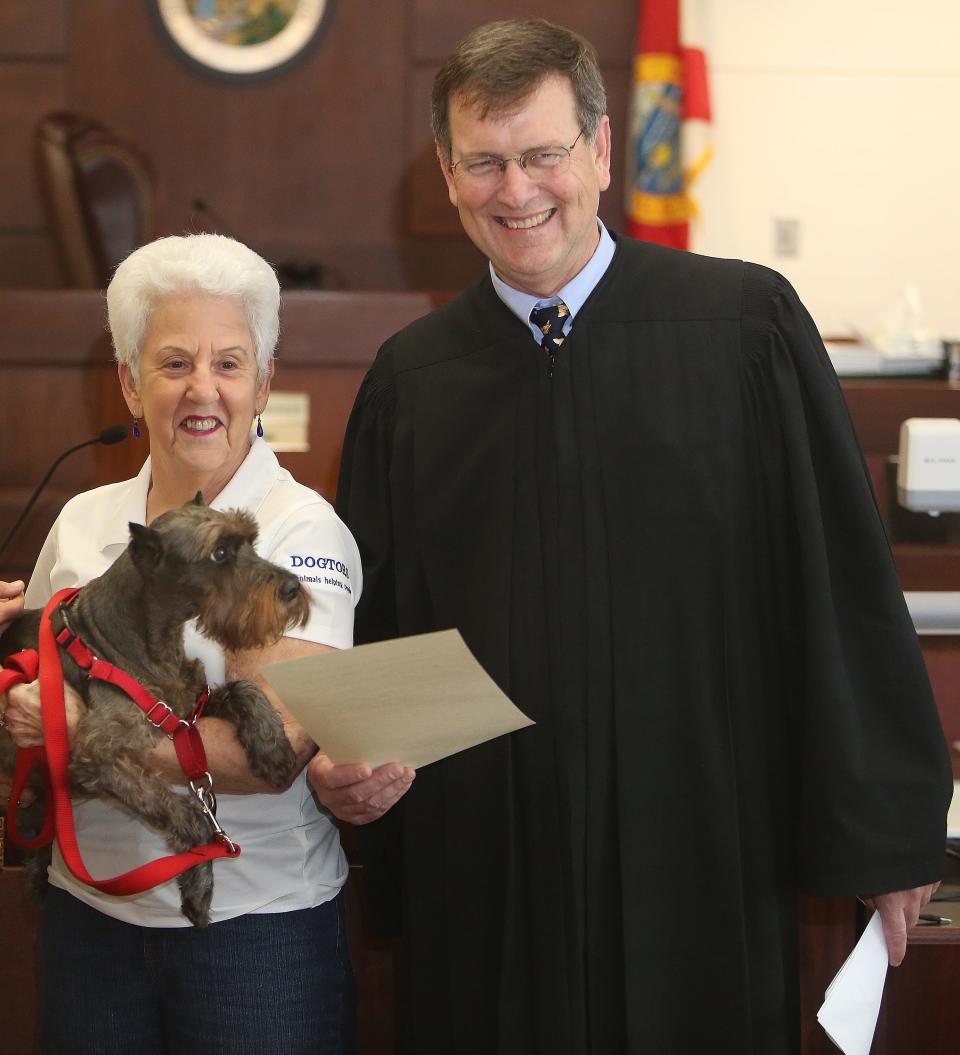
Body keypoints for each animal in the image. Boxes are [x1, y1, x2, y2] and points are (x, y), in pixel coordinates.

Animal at [0, 491, 308, 924]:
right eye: (219, 551)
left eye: (251, 541)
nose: (293, 587)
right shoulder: (100, 755)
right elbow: (191, 816)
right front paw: (198, 885)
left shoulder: (186, 711)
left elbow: (244, 688)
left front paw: (274, 751)